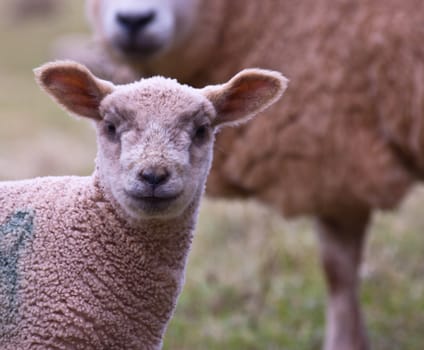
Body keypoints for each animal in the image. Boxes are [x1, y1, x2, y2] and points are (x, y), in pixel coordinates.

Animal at [57, 0, 424, 350]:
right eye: (110, 127)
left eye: (202, 130)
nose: (134, 20)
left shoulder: (338, 152)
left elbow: (338, 269)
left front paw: (345, 342)